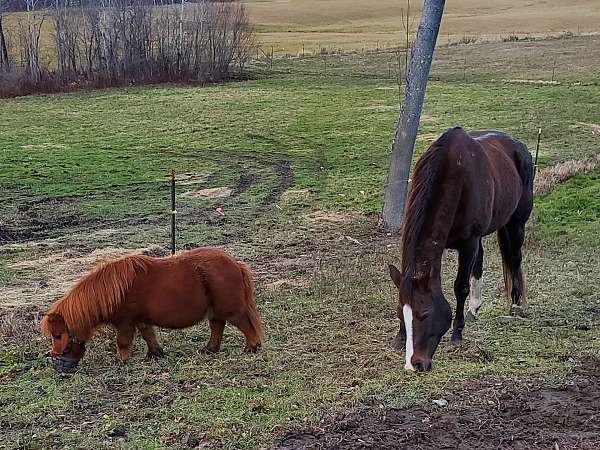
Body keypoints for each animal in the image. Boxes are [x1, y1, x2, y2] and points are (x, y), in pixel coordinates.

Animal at [41, 248, 264, 370]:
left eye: (59, 335)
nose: (60, 367)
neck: (114, 290)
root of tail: (235, 264)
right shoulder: (141, 320)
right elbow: (149, 335)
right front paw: (155, 354)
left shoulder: (126, 323)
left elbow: (122, 343)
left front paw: (121, 362)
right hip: (214, 310)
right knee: (217, 326)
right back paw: (210, 349)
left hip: (230, 309)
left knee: (243, 323)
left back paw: (252, 347)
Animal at [390, 125, 536, 372]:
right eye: (402, 313)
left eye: (425, 314)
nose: (415, 364)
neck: (454, 177)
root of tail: (519, 146)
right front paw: (400, 338)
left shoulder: (468, 243)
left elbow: (460, 287)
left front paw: (456, 335)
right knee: (480, 264)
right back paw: (473, 309)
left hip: (516, 222)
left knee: (514, 258)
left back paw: (516, 306)